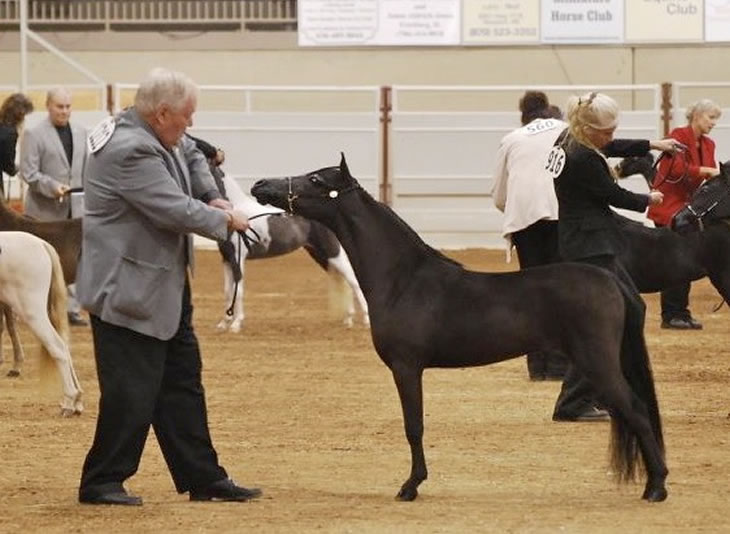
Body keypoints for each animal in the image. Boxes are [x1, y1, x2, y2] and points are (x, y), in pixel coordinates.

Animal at [0, 232, 83, 416]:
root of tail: (41, 244)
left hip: (32, 312)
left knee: (58, 348)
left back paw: (69, 402)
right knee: (64, 346)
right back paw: (77, 402)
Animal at [213, 172, 366, 332]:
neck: (236, 211)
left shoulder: (238, 258)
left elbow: (238, 291)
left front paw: (236, 324)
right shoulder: (227, 258)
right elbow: (228, 291)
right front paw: (223, 323)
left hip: (333, 253)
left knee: (354, 281)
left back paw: (366, 320)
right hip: (321, 256)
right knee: (346, 282)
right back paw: (348, 320)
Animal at [253, 155, 668, 506]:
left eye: (315, 179)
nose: (260, 184)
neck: (403, 279)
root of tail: (610, 281)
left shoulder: (406, 367)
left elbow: (414, 426)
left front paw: (410, 486)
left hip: (598, 362)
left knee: (635, 410)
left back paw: (657, 487)